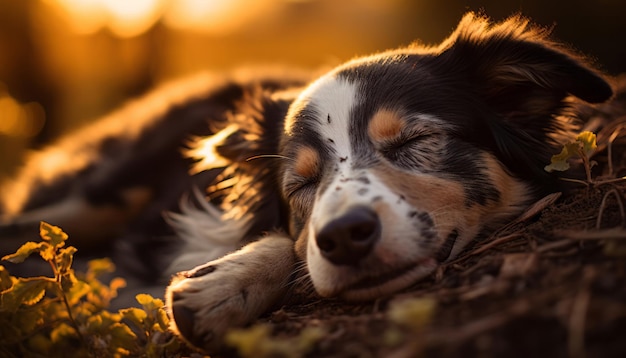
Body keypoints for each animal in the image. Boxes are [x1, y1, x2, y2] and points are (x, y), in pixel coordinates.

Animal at [0, 12, 616, 352]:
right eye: (300, 184)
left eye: (413, 141)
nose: (344, 237)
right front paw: (224, 282)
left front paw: (223, 285)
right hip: (93, 195)